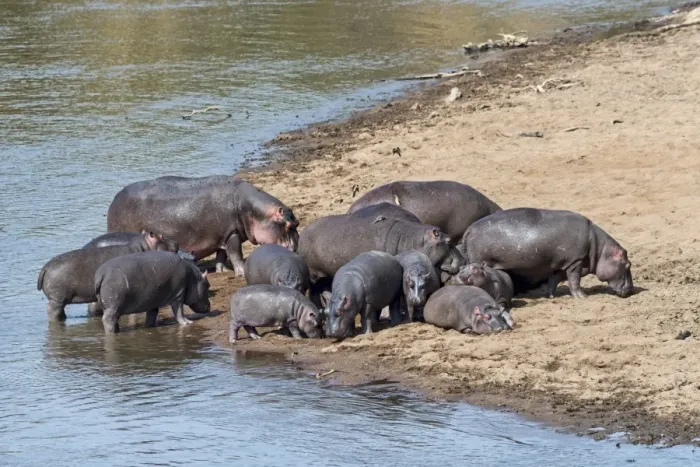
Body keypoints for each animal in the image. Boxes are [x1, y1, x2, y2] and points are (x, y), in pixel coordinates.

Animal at [37, 232, 170, 321]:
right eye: (162, 237)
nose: (175, 244)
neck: (143, 247)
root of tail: (45, 267)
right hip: (57, 299)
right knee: (52, 311)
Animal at [106, 176, 299, 276]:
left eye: (297, 222)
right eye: (289, 225)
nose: (297, 250)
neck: (253, 210)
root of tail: (114, 199)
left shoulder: (223, 235)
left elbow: (222, 254)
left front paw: (222, 270)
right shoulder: (232, 234)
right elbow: (236, 254)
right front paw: (242, 271)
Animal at [461, 208, 633, 298]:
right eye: (627, 264)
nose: (631, 290)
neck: (600, 250)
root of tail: (470, 228)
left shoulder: (562, 264)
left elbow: (554, 279)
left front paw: (551, 295)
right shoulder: (575, 262)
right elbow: (574, 281)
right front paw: (582, 296)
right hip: (479, 259)